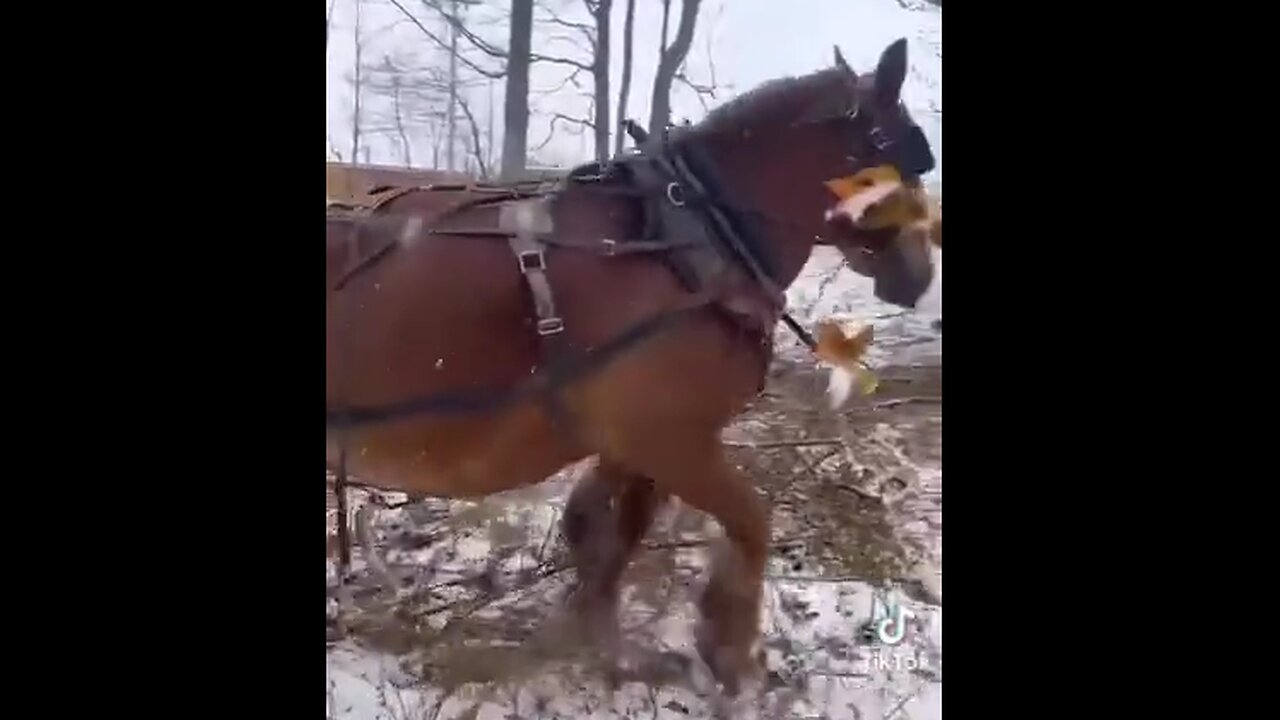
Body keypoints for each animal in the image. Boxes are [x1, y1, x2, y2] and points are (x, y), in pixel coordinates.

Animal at [325, 40, 936, 696]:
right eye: (889, 150)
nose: (918, 277)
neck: (686, 246)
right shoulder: (668, 437)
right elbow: (750, 522)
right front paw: (729, 654)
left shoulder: (637, 439)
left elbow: (603, 531)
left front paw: (597, 642)